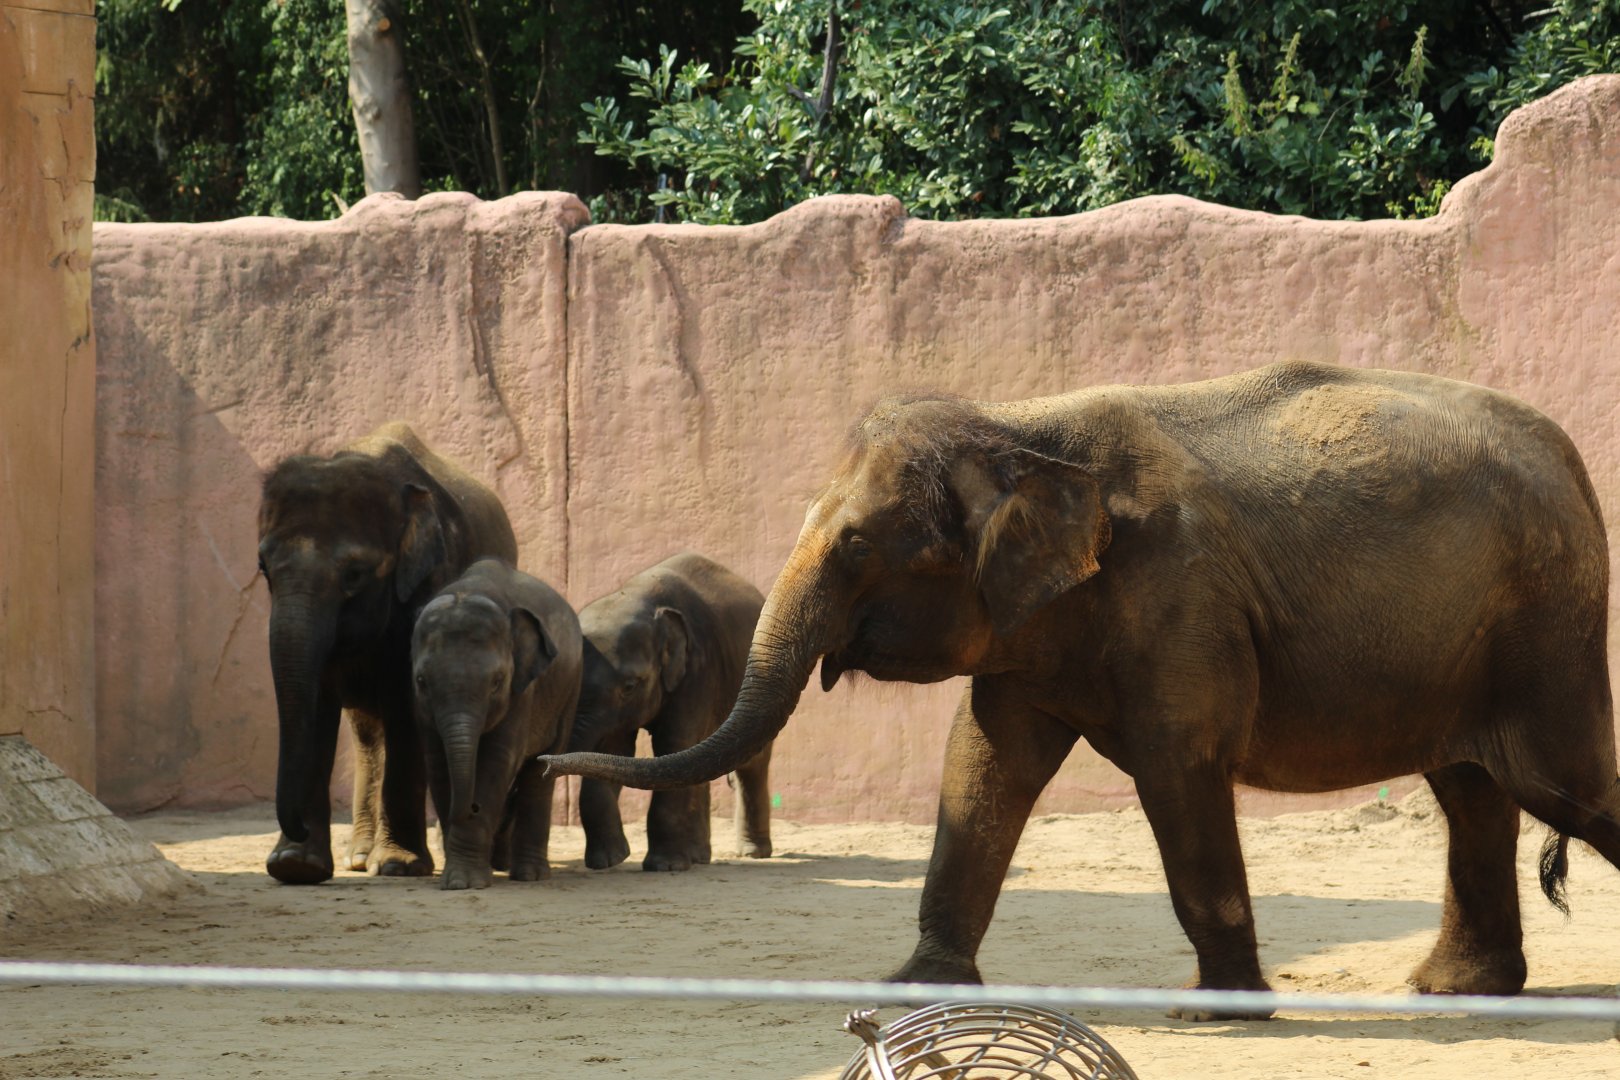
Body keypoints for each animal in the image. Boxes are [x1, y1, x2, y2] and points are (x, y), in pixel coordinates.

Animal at [257, 422, 517, 885]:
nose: (296, 826)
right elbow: (317, 704)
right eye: (262, 567)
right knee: (365, 733)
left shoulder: (431, 581)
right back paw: (360, 857)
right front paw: (295, 866)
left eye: (354, 574)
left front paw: (400, 866)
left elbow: (407, 706)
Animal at [411, 558, 582, 889]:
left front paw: (465, 881)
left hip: (568, 693)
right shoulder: (422, 708)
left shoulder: (523, 690)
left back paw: (530, 875)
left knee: (539, 776)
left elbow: (498, 759)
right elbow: (437, 763)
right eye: (422, 681)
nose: (471, 808)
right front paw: (457, 878)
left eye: (497, 682)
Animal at [570, 552, 773, 872]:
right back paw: (699, 857)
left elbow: (672, 746)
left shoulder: (698, 670)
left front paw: (663, 866)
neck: (639, 597)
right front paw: (609, 860)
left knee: (751, 763)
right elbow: (613, 750)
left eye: (630, 686)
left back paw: (752, 853)